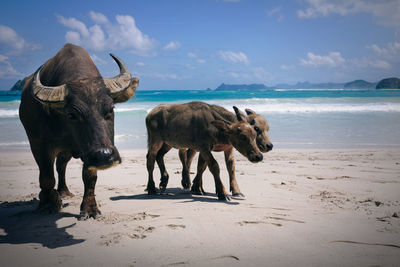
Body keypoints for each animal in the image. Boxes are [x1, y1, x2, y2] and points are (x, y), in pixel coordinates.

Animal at [19, 44, 139, 219]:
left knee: (61, 166)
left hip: (66, 151)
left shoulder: (87, 154)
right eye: (72, 115)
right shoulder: (42, 145)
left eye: (111, 109)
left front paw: (90, 208)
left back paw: (64, 192)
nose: (104, 155)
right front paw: (48, 204)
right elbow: (46, 177)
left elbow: (90, 176)